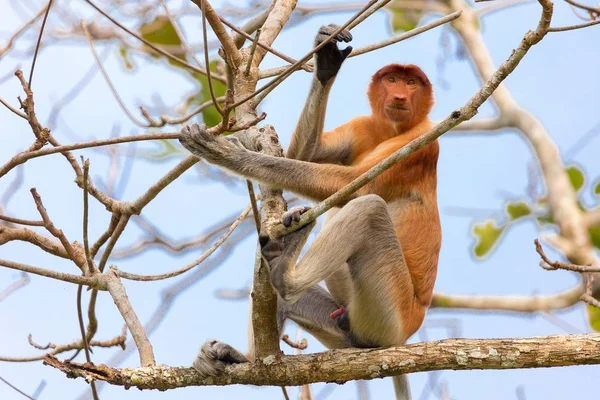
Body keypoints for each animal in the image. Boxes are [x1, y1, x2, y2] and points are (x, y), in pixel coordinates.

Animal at [180, 23, 442, 398]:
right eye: (392, 79)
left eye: (411, 83)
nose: (400, 97)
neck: (394, 128)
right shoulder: (363, 125)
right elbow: (304, 154)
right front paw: (326, 59)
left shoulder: (421, 142)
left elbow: (352, 185)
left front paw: (224, 152)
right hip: (347, 324)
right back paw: (245, 356)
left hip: (387, 315)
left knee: (369, 210)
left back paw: (284, 273)